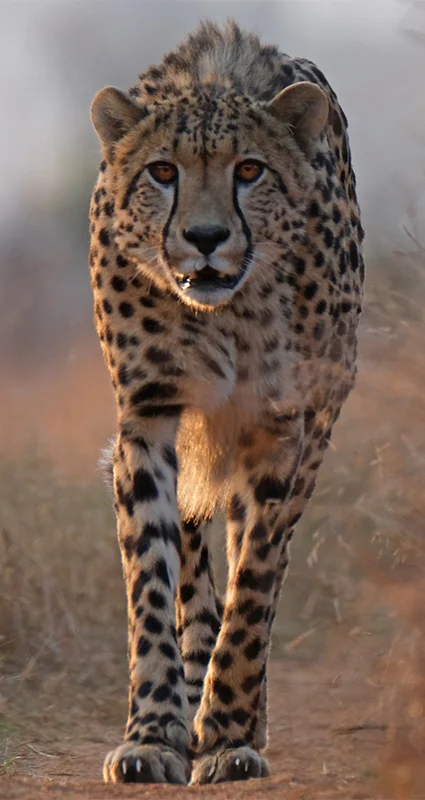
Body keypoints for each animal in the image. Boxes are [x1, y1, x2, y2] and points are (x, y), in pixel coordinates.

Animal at [88, 19, 364, 786]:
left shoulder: (282, 424)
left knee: (253, 553)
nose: (206, 239)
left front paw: (229, 730)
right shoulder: (148, 419)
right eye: (161, 172)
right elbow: (152, 581)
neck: (223, 312)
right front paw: (155, 732)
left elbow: (257, 579)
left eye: (249, 172)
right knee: (193, 555)